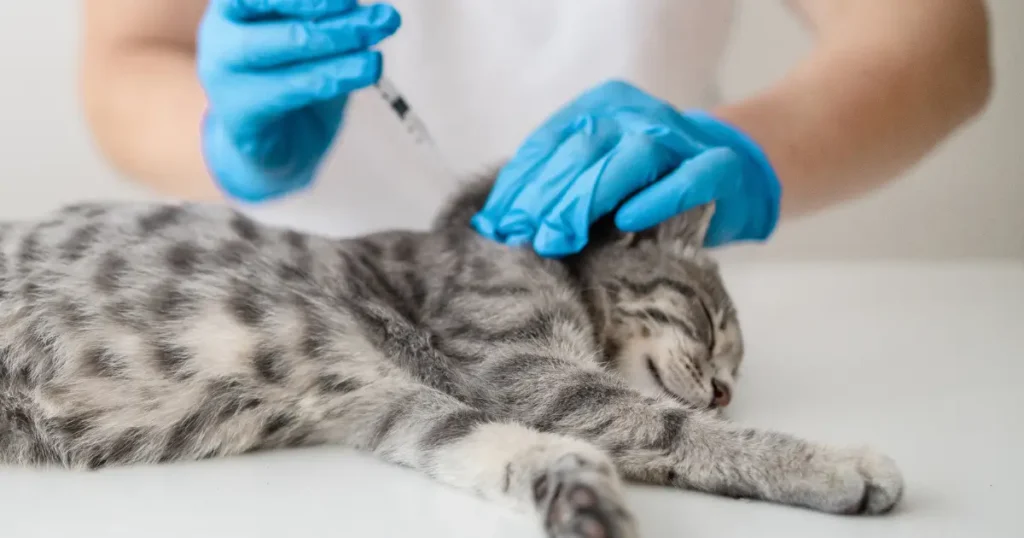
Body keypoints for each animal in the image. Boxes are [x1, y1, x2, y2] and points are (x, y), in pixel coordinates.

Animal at [0, 172, 897, 536]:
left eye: (734, 367)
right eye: (710, 325)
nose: (722, 391)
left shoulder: (391, 402)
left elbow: (508, 451)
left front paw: (581, 500)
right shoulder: (521, 367)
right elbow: (677, 432)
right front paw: (830, 464)